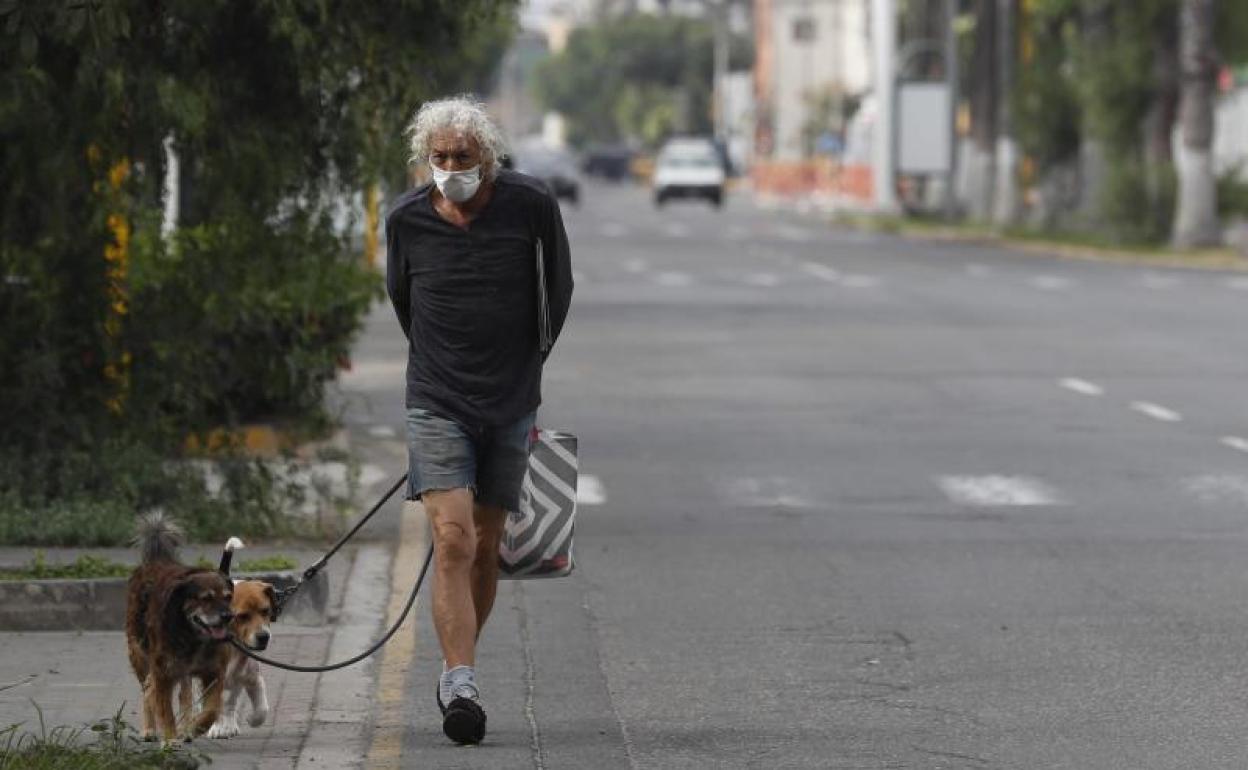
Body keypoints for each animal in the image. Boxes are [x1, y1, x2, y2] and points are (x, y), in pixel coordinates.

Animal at [126, 514, 234, 743]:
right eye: (206, 598)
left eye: (228, 597)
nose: (228, 617)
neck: (193, 637)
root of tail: (157, 560)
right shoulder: (164, 673)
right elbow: (165, 710)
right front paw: (170, 739)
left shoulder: (214, 672)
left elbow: (211, 710)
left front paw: (194, 728)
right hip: (140, 653)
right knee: (148, 689)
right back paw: (150, 729)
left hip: (181, 673)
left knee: (181, 695)